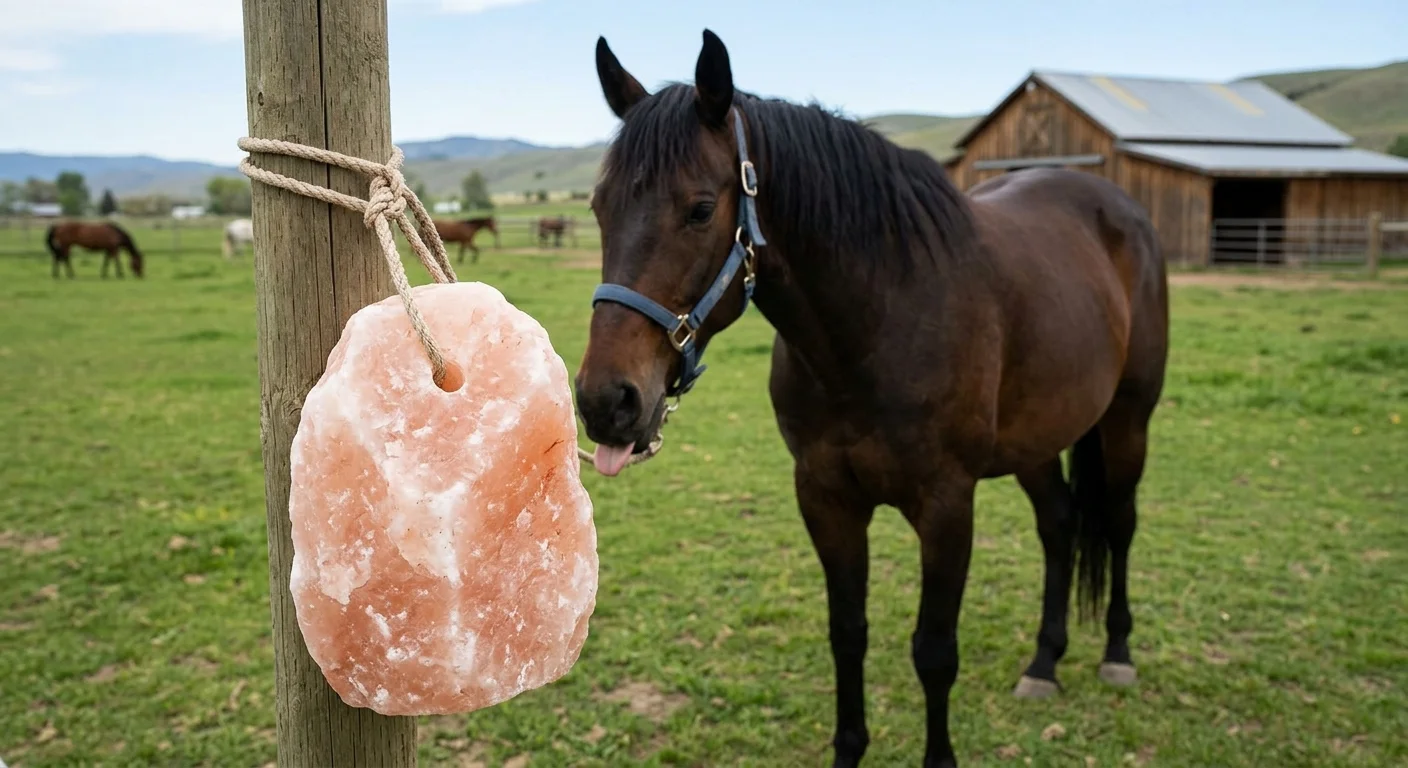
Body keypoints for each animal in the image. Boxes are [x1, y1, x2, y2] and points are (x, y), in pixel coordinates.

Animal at [574, 31, 1169, 768]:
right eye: (598, 207)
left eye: (701, 208)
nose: (606, 401)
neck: (876, 324)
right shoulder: (826, 498)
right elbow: (847, 634)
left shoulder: (947, 505)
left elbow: (934, 652)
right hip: (1037, 438)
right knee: (1059, 524)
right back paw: (1043, 664)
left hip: (1128, 421)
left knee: (1117, 521)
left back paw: (1117, 653)